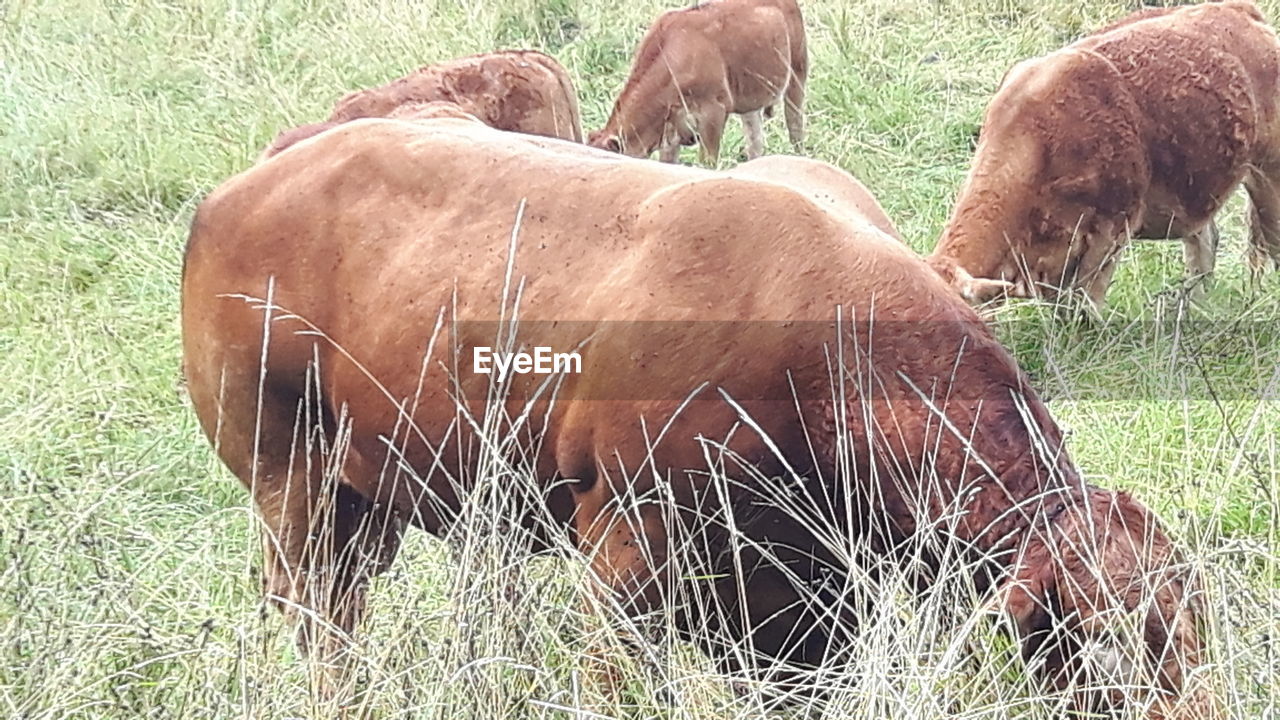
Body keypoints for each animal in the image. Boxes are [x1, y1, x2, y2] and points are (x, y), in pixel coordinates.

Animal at [180, 117, 1208, 712]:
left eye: (1190, 626)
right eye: (1113, 640)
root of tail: (247, 185)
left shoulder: (803, 597)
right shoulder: (629, 544)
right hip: (294, 484)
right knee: (321, 616)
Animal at [586, 0, 798, 163]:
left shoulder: (714, 112)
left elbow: (707, 162)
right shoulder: (670, 130)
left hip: (798, 73)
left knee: (795, 125)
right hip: (750, 102)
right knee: (755, 139)